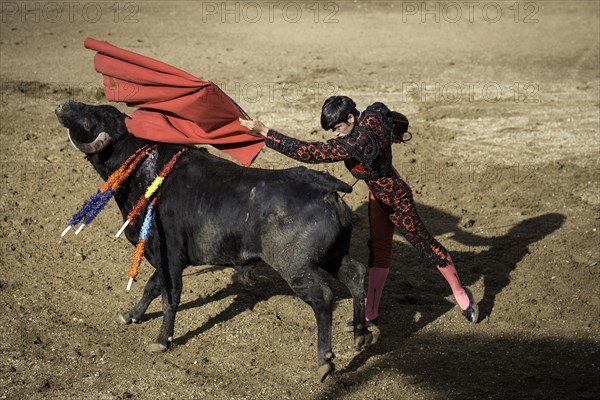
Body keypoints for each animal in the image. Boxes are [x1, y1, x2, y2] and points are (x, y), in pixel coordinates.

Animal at [57, 101, 376, 382]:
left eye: (92, 114)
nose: (63, 106)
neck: (143, 168)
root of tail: (325, 186)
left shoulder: (169, 254)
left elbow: (170, 296)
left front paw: (162, 340)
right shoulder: (164, 257)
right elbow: (151, 287)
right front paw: (131, 315)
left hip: (296, 267)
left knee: (322, 298)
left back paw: (325, 361)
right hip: (332, 256)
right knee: (356, 274)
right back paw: (361, 334)